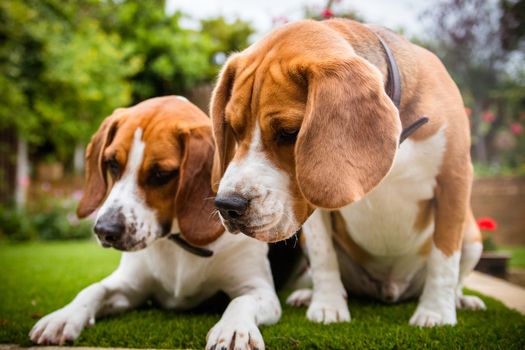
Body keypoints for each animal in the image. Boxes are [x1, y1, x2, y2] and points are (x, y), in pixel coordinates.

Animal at [30, 95, 280, 348]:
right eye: (112, 164)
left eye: (161, 174)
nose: (104, 230)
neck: (178, 243)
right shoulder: (130, 288)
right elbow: (94, 289)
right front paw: (64, 316)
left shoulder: (260, 290)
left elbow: (241, 301)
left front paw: (234, 329)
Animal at [211, 17, 486, 326]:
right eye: (234, 129)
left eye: (289, 133)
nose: (228, 205)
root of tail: (390, 290)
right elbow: (324, 256)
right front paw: (327, 305)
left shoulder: (455, 179)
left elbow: (445, 258)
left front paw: (435, 312)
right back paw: (307, 294)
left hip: (473, 236)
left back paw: (461, 299)